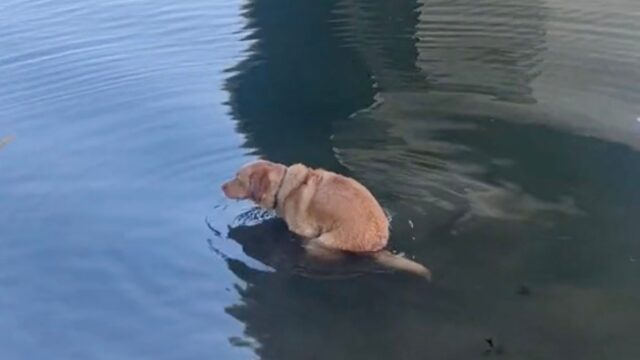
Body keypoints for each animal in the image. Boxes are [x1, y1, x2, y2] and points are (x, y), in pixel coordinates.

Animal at [222, 159, 432, 280]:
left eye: (238, 178)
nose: (221, 186)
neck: (283, 186)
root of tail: (378, 246)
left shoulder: (304, 231)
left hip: (320, 242)